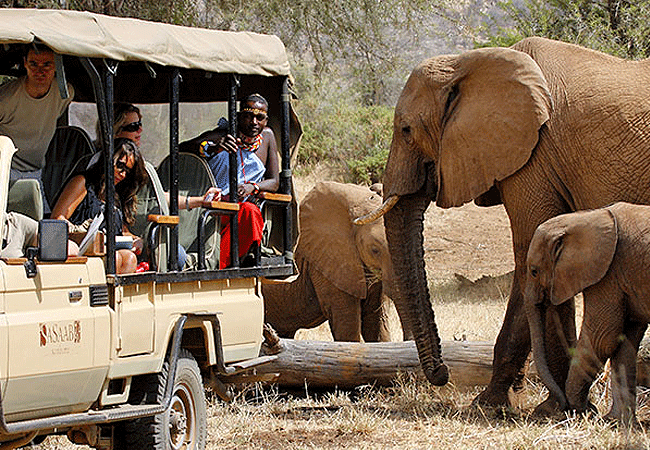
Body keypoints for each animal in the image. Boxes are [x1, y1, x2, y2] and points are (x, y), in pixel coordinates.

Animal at [520, 202, 648, 424]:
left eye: (534, 271)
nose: (560, 406)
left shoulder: (609, 273)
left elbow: (602, 339)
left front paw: (580, 411)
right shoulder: (625, 280)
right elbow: (624, 344)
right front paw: (614, 421)